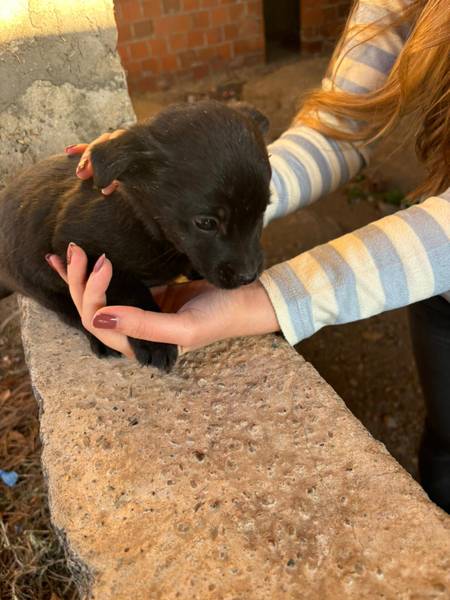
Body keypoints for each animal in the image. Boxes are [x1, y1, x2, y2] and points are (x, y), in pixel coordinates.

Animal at [0, 100, 270, 370]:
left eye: (263, 210)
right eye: (206, 223)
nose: (248, 277)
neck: (147, 226)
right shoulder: (75, 244)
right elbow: (124, 284)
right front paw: (154, 342)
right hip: (38, 283)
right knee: (71, 312)